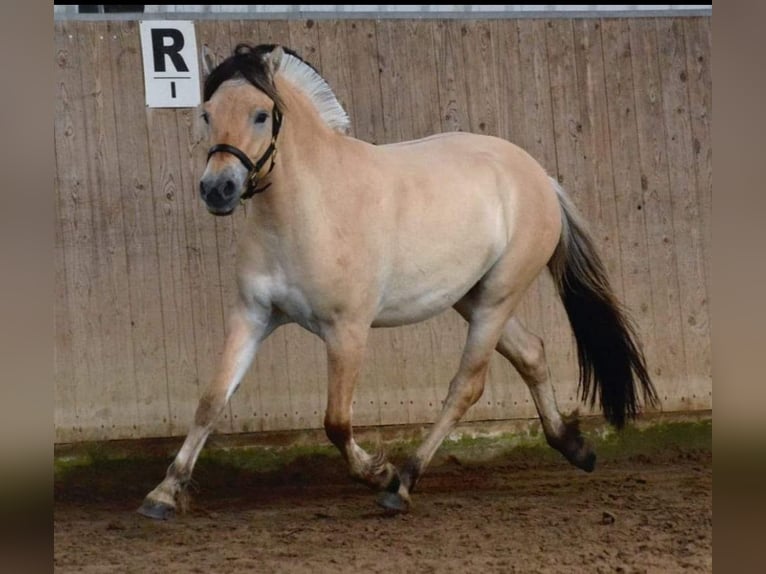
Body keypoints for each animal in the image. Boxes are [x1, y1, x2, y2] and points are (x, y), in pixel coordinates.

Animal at [138, 45, 660, 520]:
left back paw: (404, 483)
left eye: (261, 114)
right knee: (531, 353)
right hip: (470, 297)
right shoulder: (252, 316)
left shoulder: (347, 330)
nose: (217, 190)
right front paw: (163, 493)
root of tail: (539, 177)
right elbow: (210, 401)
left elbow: (336, 421)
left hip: (498, 297)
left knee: (466, 386)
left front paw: (379, 473)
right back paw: (575, 448)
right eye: (207, 113)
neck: (309, 208)